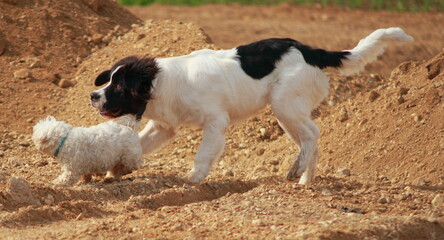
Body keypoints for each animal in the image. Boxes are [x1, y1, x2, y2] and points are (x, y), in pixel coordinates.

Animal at [90, 27, 412, 184]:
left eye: (118, 87)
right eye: (109, 81)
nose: (93, 95)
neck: (162, 82)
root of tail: (308, 50)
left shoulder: (215, 122)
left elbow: (203, 155)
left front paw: (192, 181)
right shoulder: (163, 128)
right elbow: (138, 145)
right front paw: (115, 172)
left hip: (284, 105)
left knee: (313, 135)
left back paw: (296, 171)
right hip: (287, 113)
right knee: (312, 141)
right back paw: (305, 180)